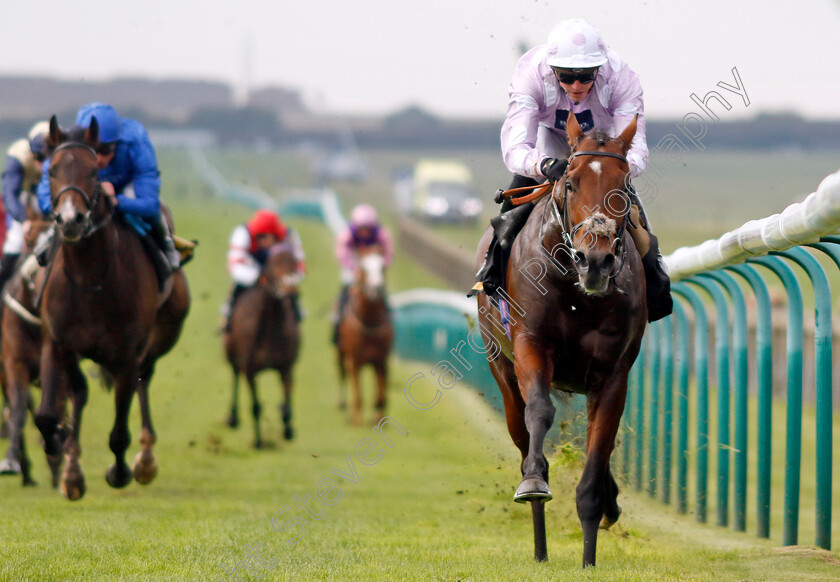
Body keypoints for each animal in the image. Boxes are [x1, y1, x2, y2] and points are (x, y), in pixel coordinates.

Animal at [32, 115, 190, 502]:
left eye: (93, 172)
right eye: (51, 170)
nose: (70, 220)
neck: (91, 279)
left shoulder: (127, 355)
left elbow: (119, 430)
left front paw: (119, 472)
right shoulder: (56, 342)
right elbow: (46, 415)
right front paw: (58, 448)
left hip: (157, 339)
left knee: (144, 382)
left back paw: (144, 460)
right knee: (79, 393)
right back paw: (72, 469)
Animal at [223, 244, 302, 450]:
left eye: (294, 264)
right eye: (274, 265)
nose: (290, 291)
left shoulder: (286, 367)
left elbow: (287, 403)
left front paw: (288, 431)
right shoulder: (250, 370)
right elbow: (256, 406)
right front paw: (258, 442)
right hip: (231, 355)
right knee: (234, 375)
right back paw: (232, 417)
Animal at [334, 248, 394, 428]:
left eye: (382, 267)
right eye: (363, 268)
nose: (377, 288)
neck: (369, 323)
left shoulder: (381, 361)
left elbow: (381, 394)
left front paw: (378, 416)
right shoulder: (354, 361)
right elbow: (358, 393)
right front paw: (357, 421)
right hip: (340, 353)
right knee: (341, 373)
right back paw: (342, 403)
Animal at [476, 112, 648, 568]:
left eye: (624, 185)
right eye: (569, 181)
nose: (596, 260)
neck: (576, 289)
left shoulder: (613, 374)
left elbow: (600, 448)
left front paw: (590, 554)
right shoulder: (531, 346)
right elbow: (540, 411)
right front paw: (535, 481)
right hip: (501, 370)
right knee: (522, 433)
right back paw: (539, 545)